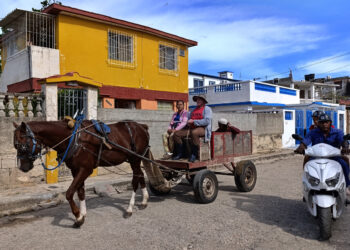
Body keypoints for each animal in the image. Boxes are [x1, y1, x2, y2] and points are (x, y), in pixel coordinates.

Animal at [12, 118, 151, 228]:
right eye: (15, 145)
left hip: (135, 159)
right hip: (135, 160)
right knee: (141, 175)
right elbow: (80, 192)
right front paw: (83, 214)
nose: (21, 167)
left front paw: (78, 217)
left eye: (22, 145)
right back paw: (144, 201)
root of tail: (142, 126)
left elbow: (69, 193)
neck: (74, 139)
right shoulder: (75, 170)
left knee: (135, 180)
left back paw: (129, 209)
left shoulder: (85, 169)